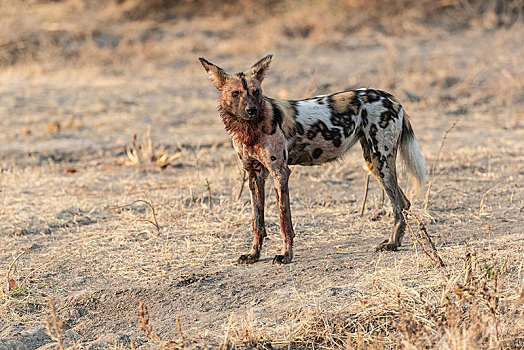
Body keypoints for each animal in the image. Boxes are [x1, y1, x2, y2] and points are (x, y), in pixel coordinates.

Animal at [200, 54, 426, 262]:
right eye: (235, 93)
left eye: (256, 92)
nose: (251, 110)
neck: (250, 128)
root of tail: (392, 98)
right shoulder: (254, 174)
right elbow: (258, 221)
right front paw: (254, 255)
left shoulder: (280, 173)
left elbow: (284, 221)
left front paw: (286, 255)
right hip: (374, 162)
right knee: (404, 202)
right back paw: (395, 242)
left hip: (381, 161)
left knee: (398, 204)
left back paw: (391, 244)